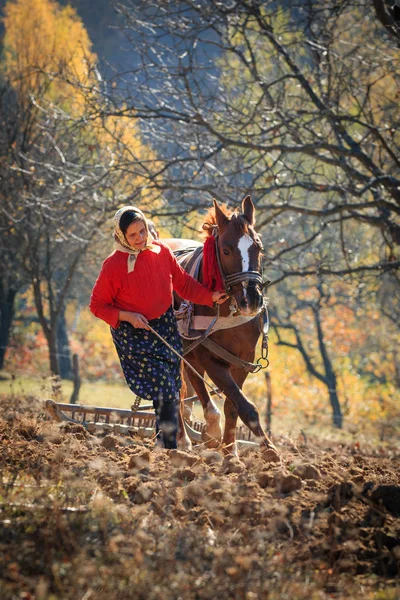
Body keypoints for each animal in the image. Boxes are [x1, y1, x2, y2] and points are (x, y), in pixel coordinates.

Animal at [171, 195, 278, 462]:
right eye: (226, 250)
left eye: (258, 248)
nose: (252, 300)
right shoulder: (211, 357)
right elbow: (246, 406)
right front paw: (268, 449)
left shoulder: (242, 358)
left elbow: (233, 404)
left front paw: (231, 451)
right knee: (179, 389)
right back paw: (185, 438)